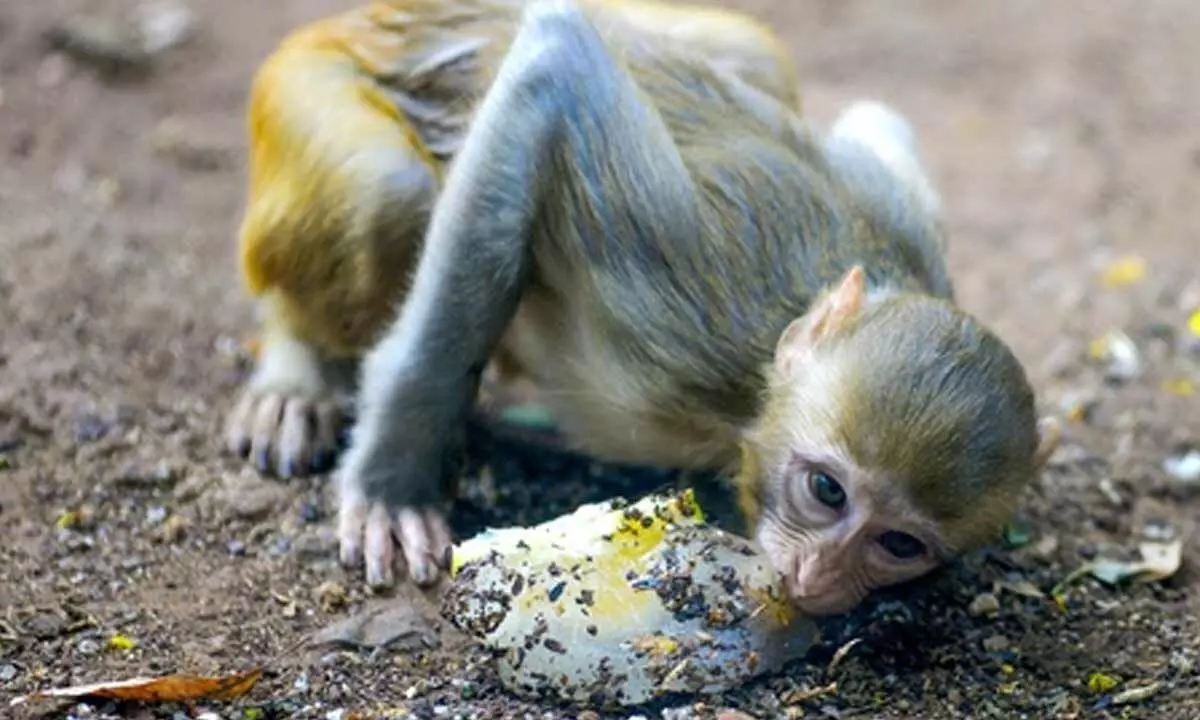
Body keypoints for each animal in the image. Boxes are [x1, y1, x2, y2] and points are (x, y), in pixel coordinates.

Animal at [228, 0, 1062, 616]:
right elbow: (554, 64)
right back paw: (296, 373)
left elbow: (873, 122)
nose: (820, 578)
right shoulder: (679, 313)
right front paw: (392, 480)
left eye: (899, 545)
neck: (749, 398)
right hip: (303, 85)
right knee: (389, 193)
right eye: (828, 492)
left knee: (759, 56)